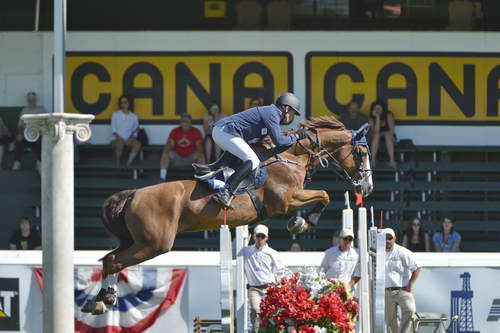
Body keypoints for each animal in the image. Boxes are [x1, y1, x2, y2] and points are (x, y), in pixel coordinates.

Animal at [82, 115, 372, 312]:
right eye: (362, 153)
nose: (367, 187)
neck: (292, 156)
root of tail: (133, 194)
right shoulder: (285, 200)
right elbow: (324, 193)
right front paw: (302, 222)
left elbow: (324, 194)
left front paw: (302, 221)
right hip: (154, 244)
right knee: (114, 261)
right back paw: (102, 301)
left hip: (137, 241)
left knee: (109, 259)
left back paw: (102, 299)